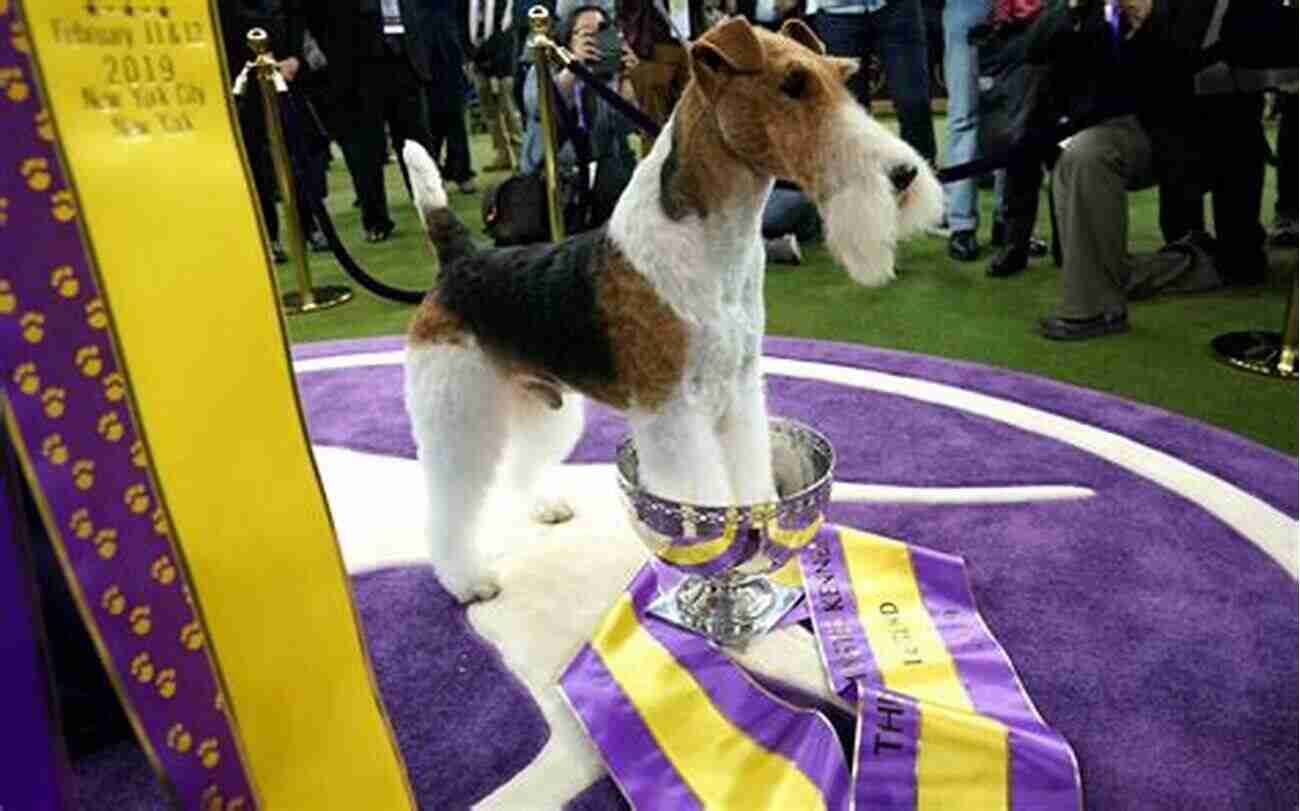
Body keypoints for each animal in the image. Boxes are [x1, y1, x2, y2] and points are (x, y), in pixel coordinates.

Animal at [400, 14, 941, 603]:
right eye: (793, 84)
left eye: (843, 77)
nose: (904, 175)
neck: (716, 248)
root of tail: (459, 257)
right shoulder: (674, 411)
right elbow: (701, 499)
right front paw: (718, 568)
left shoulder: (738, 388)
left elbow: (746, 475)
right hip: (457, 408)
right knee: (448, 501)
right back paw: (468, 579)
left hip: (540, 399)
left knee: (523, 462)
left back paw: (546, 506)